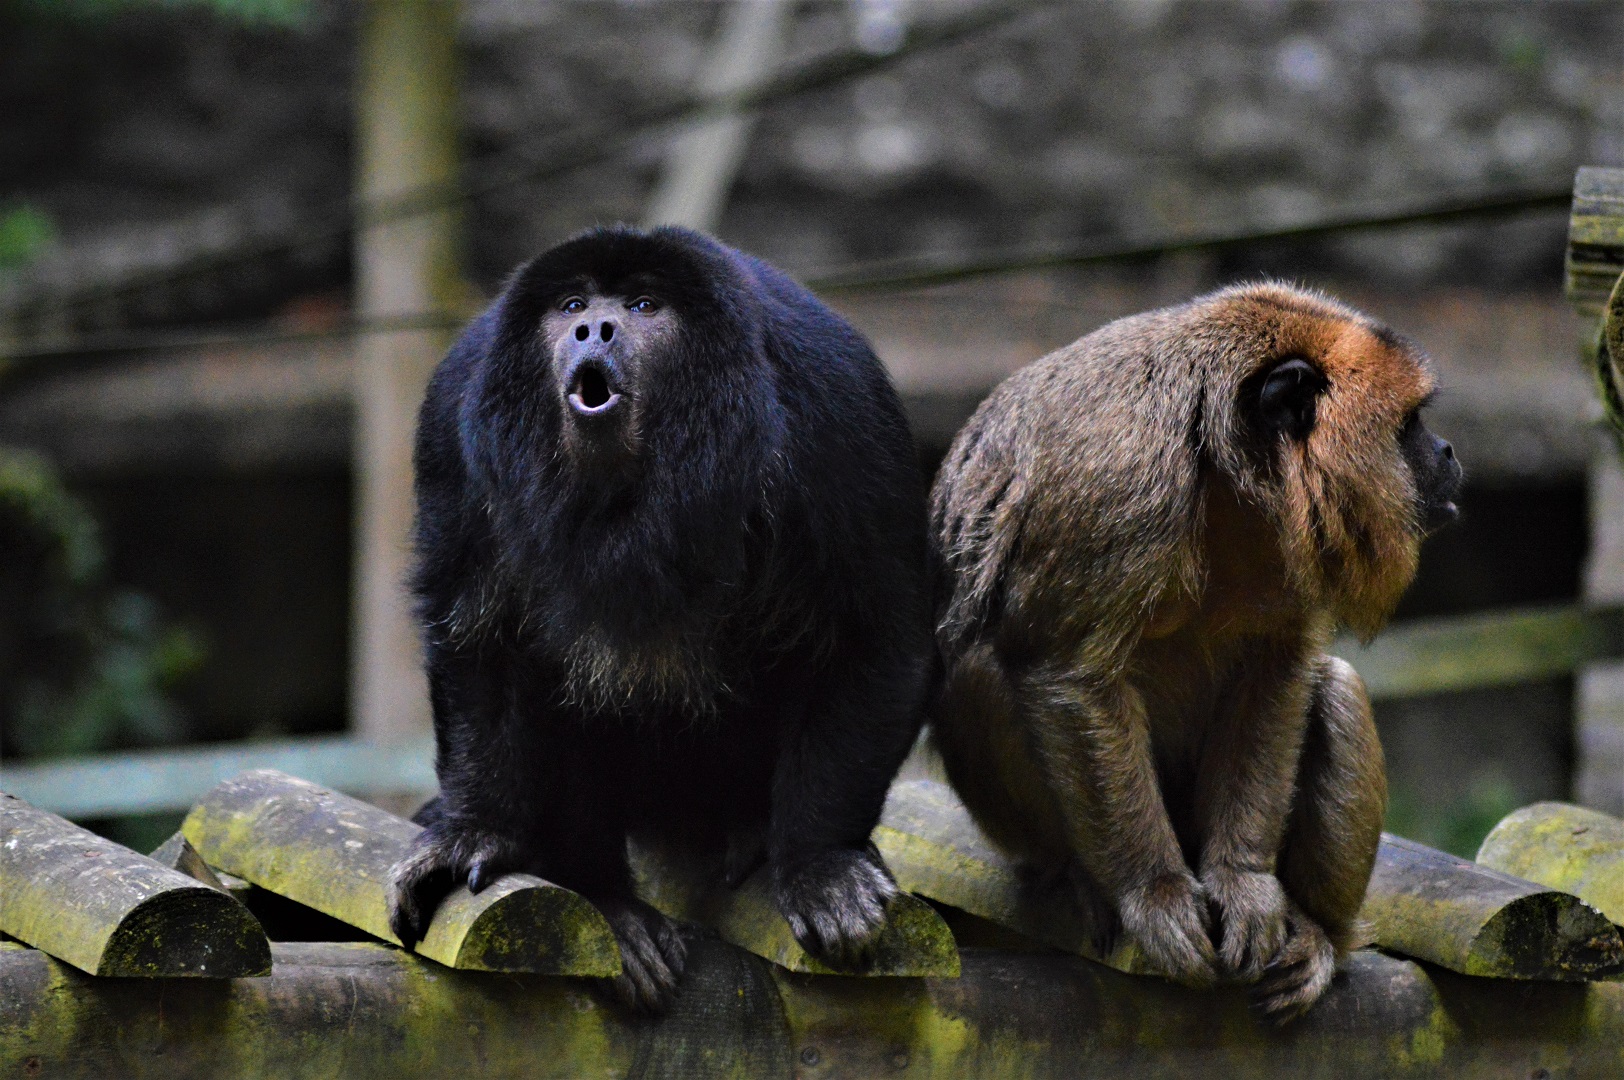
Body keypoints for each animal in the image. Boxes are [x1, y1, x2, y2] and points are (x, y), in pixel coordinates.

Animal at [388, 226, 933, 1011]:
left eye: (645, 306)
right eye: (572, 304)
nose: (594, 327)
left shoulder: (838, 405)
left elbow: (877, 633)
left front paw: (820, 864)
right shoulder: (457, 410)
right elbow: (477, 636)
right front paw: (475, 831)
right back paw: (607, 900)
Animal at [928, 282, 1462, 1021]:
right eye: (1409, 424)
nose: (1447, 450)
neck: (1224, 464)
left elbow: (1281, 670)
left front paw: (1244, 886)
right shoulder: (1119, 482)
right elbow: (1070, 675)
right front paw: (1152, 894)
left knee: (1336, 689)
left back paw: (1321, 935)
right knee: (984, 671)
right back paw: (1075, 877)